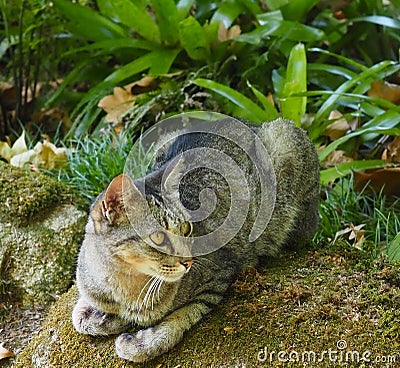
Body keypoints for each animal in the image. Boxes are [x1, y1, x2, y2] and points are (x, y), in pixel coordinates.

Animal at [71, 118, 318, 362]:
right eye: (158, 237)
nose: (188, 261)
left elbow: (179, 318)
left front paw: (141, 341)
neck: (127, 284)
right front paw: (104, 316)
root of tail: (251, 123)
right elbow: (81, 316)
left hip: (286, 143)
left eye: (187, 228)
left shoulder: (218, 277)